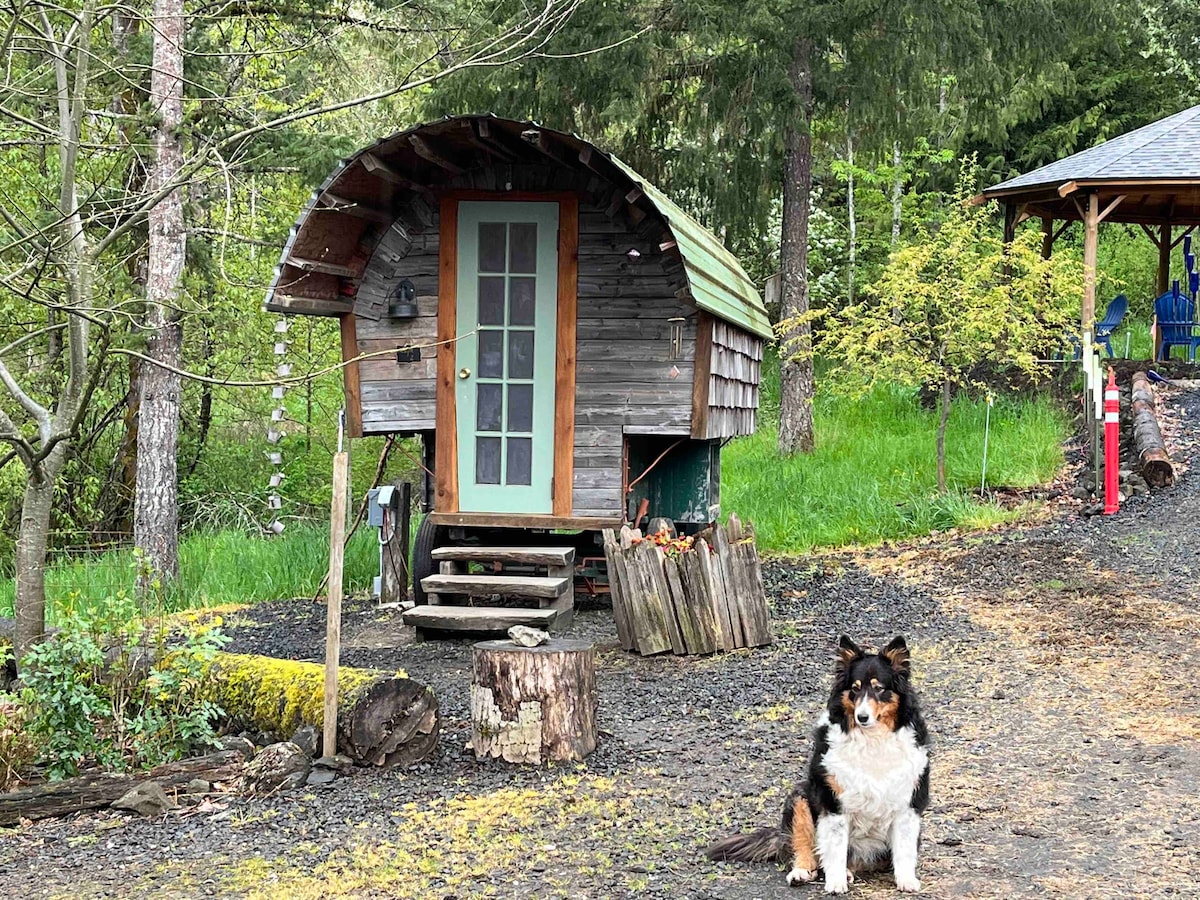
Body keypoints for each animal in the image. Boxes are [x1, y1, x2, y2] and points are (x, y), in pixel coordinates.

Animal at [705, 638, 931, 897]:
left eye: (879, 688)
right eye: (854, 688)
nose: (862, 717)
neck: (872, 740)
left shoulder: (908, 803)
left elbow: (904, 849)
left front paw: (907, 880)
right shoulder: (833, 803)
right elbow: (835, 850)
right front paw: (835, 884)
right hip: (800, 798)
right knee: (806, 849)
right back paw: (803, 872)